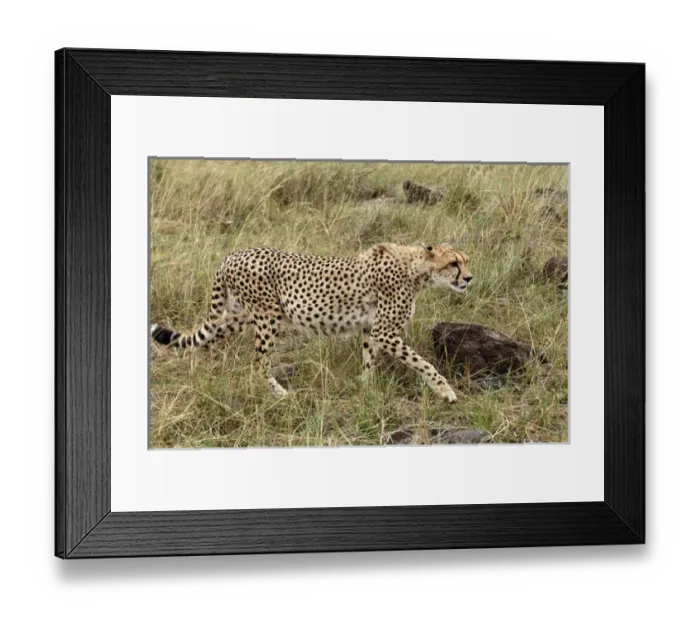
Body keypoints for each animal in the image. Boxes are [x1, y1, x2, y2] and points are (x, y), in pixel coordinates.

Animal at [151, 242, 474, 402]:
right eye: (453, 263)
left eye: (466, 261)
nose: (469, 278)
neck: (416, 270)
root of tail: (232, 254)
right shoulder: (385, 331)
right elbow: (423, 363)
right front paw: (446, 391)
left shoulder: (371, 329)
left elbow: (369, 360)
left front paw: (366, 389)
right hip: (267, 317)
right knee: (258, 363)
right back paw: (279, 394)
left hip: (241, 315)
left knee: (210, 336)